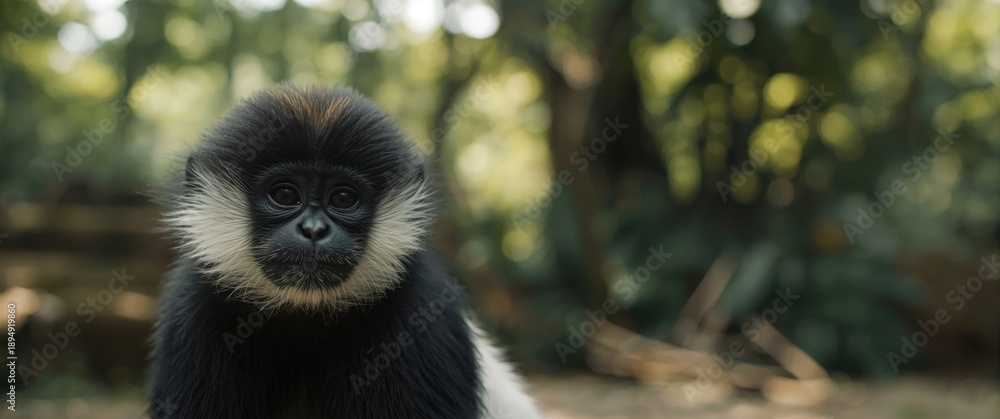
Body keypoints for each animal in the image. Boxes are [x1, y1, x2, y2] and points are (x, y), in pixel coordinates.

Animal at [150, 84, 542, 419]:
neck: (305, 315)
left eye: (342, 198)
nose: (313, 230)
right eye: (285, 194)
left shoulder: (421, 310)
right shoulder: (195, 310)